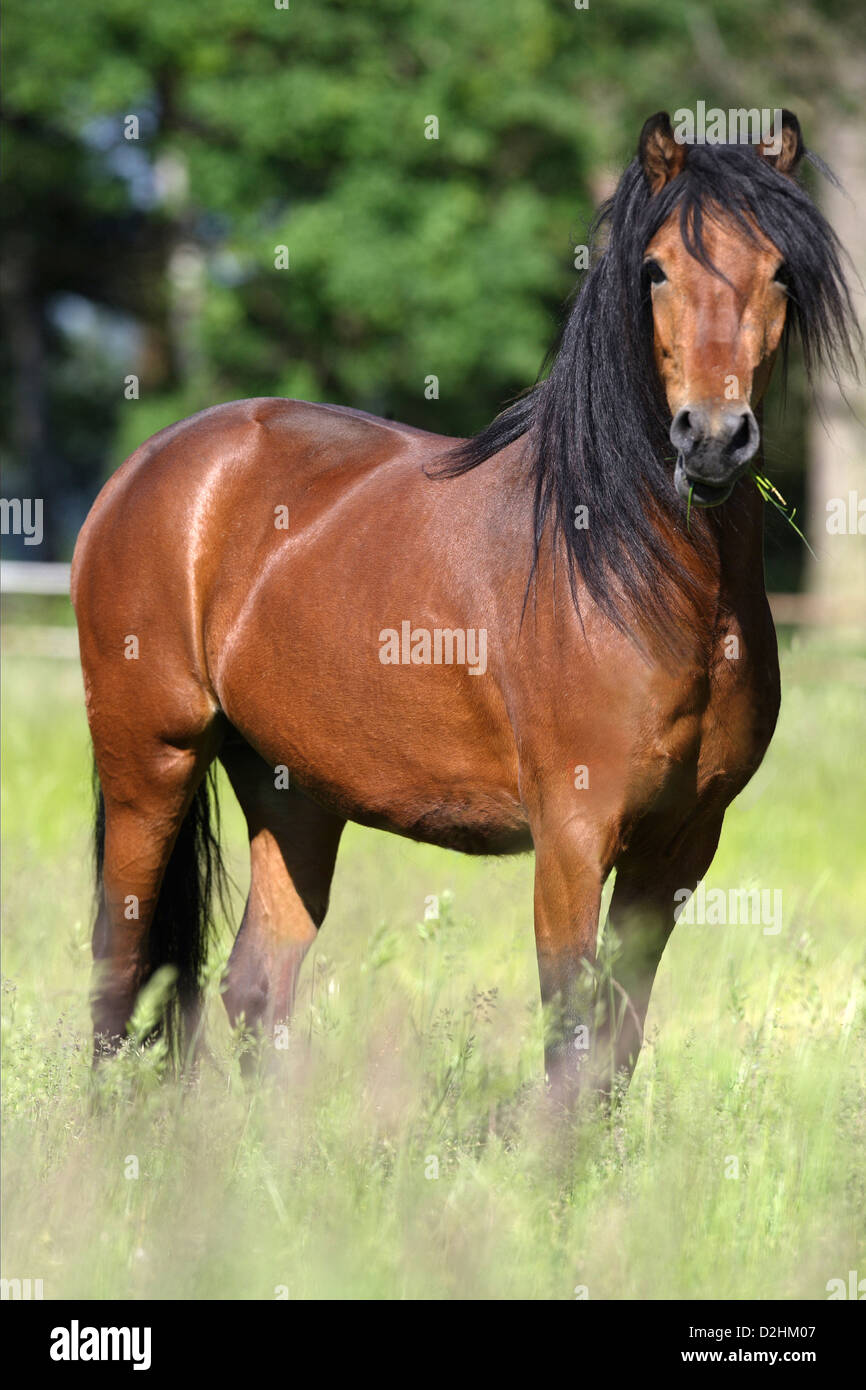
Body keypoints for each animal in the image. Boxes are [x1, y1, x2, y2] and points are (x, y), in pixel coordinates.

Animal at [71, 110, 858, 1102]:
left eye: (781, 271)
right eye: (655, 269)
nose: (713, 441)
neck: (644, 579)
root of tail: (148, 467)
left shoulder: (680, 845)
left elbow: (617, 1047)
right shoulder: (573, 837)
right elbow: (569, 1041)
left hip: (294, 791)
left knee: (256, 985)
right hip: (152, 762)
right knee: (118, 973)